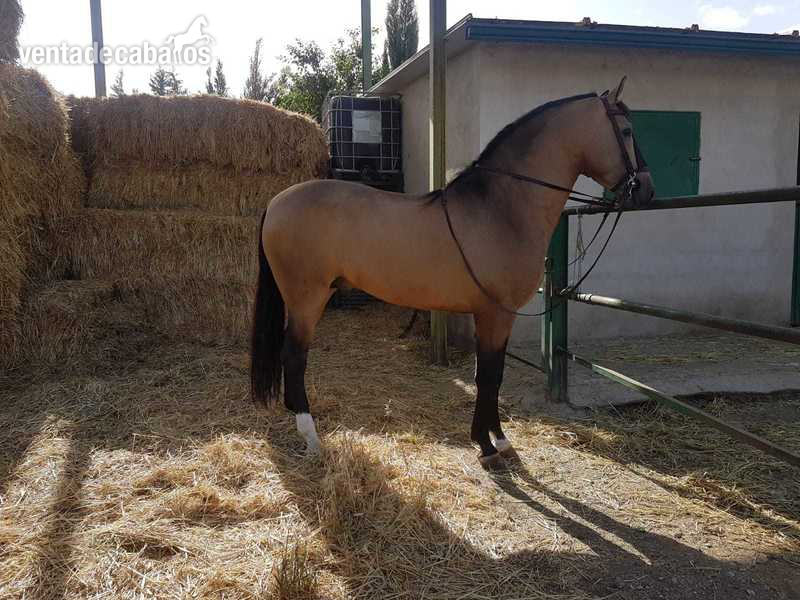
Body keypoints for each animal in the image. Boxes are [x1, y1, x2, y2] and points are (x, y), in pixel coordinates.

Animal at [250, 77, 655, 470]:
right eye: (627, 130)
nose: (647, 191)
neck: (501, 208)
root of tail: (276, 202)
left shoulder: (491, 315)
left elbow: (487, 375)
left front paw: (499, 440)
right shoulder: (496, 314)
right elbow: (490, 376)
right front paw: (487, 446)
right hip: (307, 300)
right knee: (294, 358)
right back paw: (311, 437)